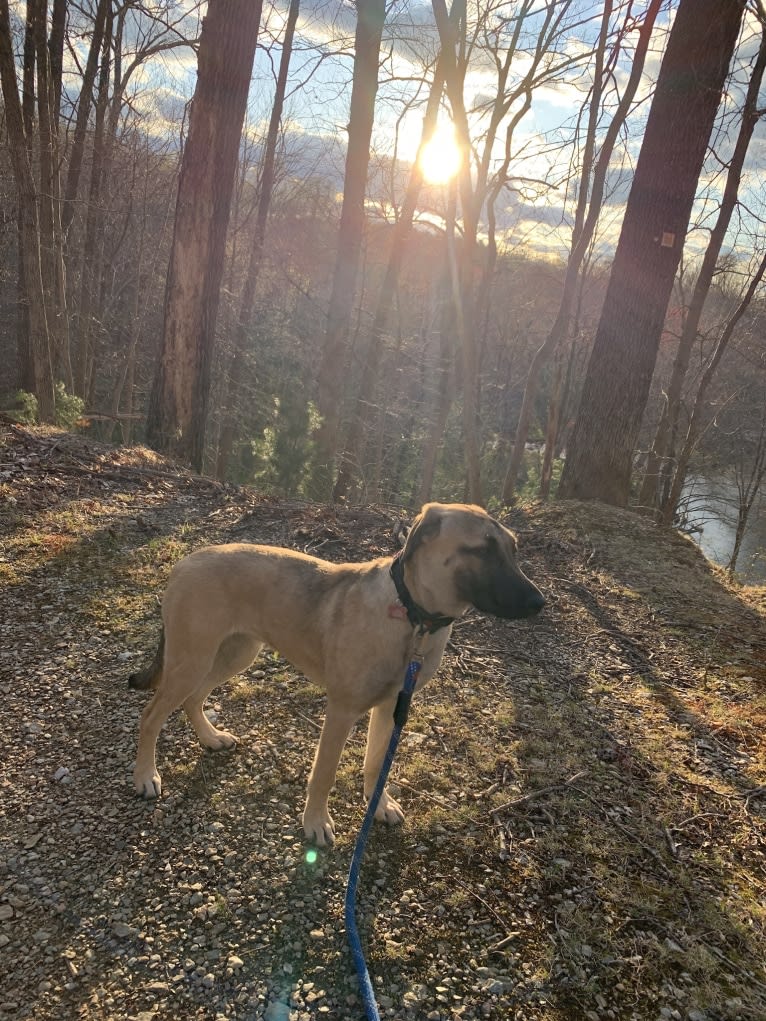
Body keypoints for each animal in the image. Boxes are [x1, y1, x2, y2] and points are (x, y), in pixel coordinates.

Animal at [129, 502, 543, 845]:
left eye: (513, 549)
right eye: (482, 550)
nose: (539, 602)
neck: (413, 618)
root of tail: (184, 562)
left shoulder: (392, 706)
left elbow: (375, 764)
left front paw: (379, 805)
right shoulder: (342, 711)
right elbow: (324, 773)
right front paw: (315, 822)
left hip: (234, 654)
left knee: (194, 699)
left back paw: (211, 738)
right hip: (192, 659)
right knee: (150, 716)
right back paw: (146, 776)